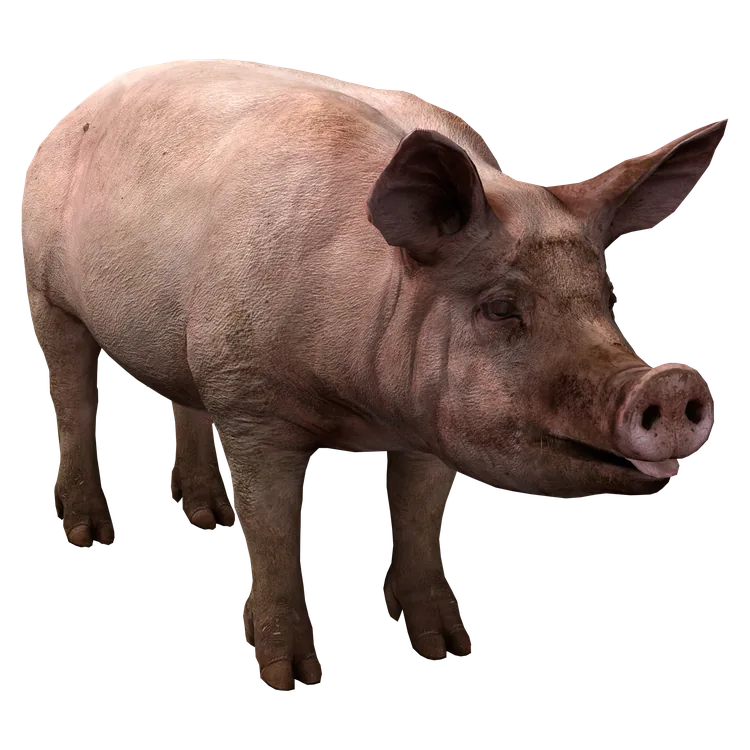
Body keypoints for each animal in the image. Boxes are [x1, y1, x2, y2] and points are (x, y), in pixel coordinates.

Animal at [20, 58, 725, 689]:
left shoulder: (435, 422)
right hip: (44, 288)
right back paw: (89, 534)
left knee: (179, 395)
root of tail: (80, 105)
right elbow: (273, 531)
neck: (364, 410)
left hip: (182, 335)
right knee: (72, 395)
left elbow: (418, 518)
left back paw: (208, 517)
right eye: (501, 308)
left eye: (607, 299)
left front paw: (446, 649)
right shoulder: (247, 399)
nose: (672, 381)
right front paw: (290, 678)